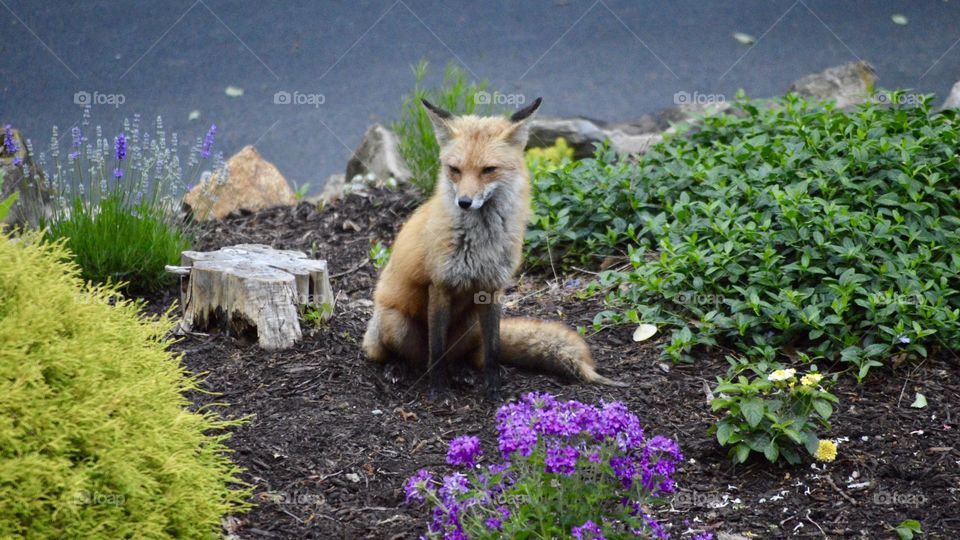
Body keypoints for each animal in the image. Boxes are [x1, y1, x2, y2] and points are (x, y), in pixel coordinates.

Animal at [364, 97, 628, 398]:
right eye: (455, 170)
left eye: (488, 170)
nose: (464, 202)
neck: (480, 244)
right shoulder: (440, 285)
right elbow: (437, 349)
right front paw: (439, 391)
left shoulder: (492, 288)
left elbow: (493, 350)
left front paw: (493, 389)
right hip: (394, 323)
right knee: (414, 355)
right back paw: (399, 368)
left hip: (470, 326)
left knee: (463, 356)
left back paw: (462, 371)